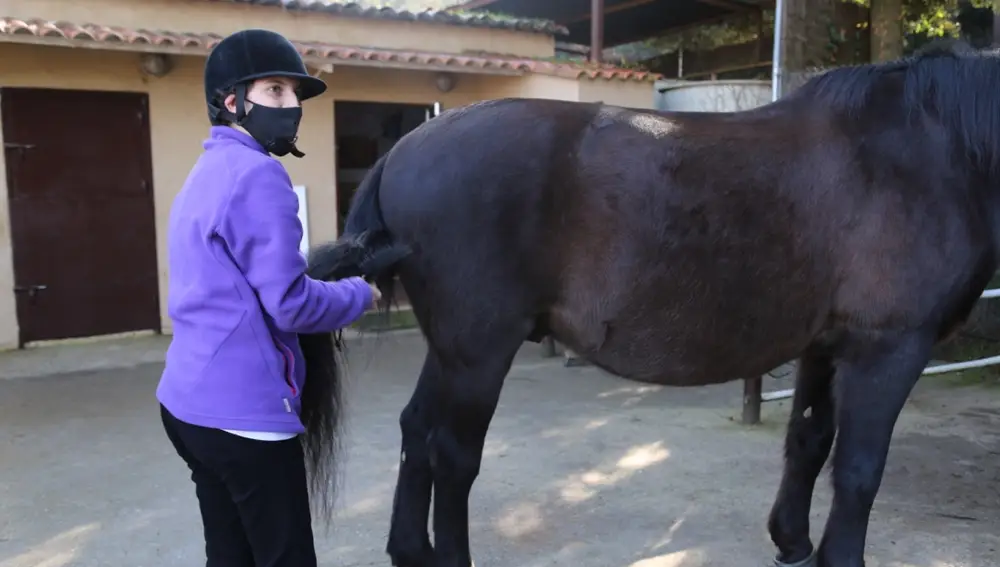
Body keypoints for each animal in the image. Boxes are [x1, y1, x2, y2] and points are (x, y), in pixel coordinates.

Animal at [297, 39, 1000, 567]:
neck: (925, 151)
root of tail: (402, 152)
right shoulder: (887, 350)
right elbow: (858, 470)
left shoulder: (827, 348)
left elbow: (808, 441)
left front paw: (793, 544)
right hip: (479, 350)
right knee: (452, 453)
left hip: (451, 349)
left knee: (416, 429)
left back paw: (410, 550)